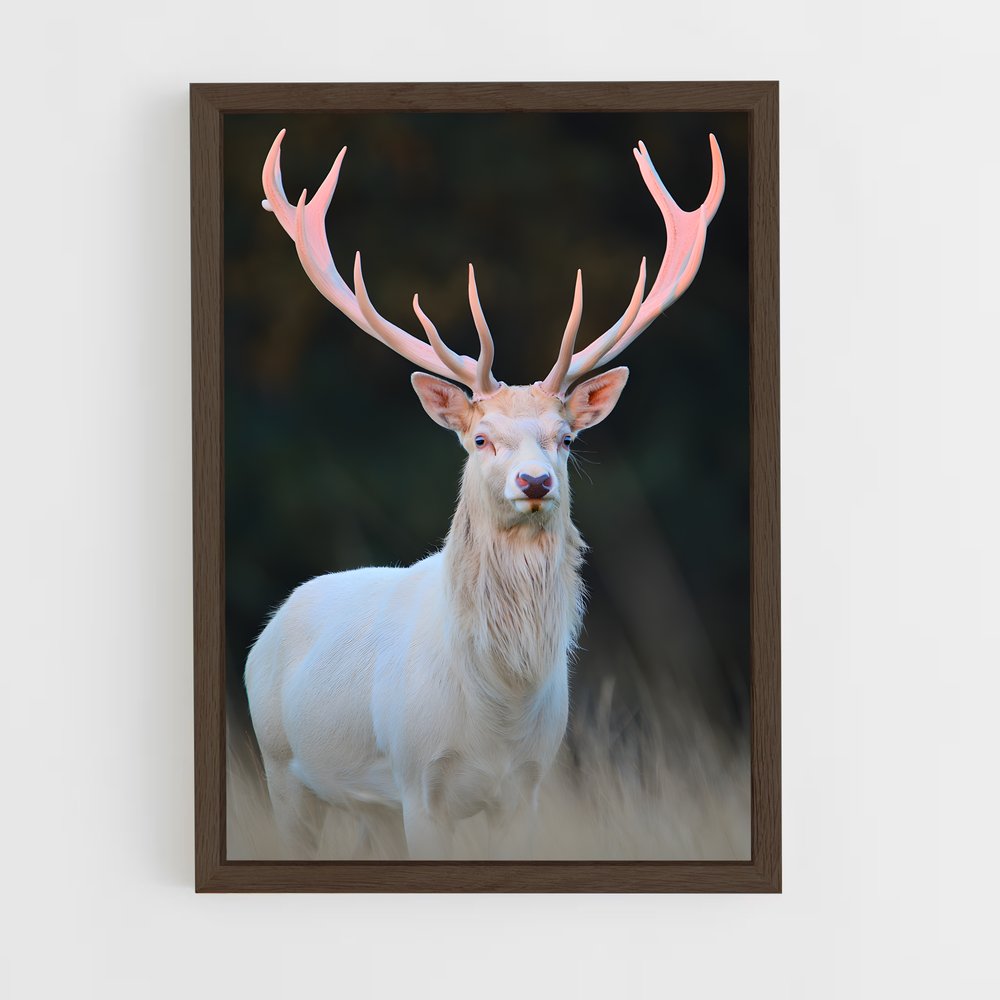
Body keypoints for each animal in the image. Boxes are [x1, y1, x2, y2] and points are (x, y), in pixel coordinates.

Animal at [244, 128, 725, 859]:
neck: (496, 713)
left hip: (367, 810)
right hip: (283, 773)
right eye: (479, 439)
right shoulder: (417, 783)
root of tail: (269, 627)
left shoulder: (527, 788)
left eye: (565, 437)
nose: (535, 481)